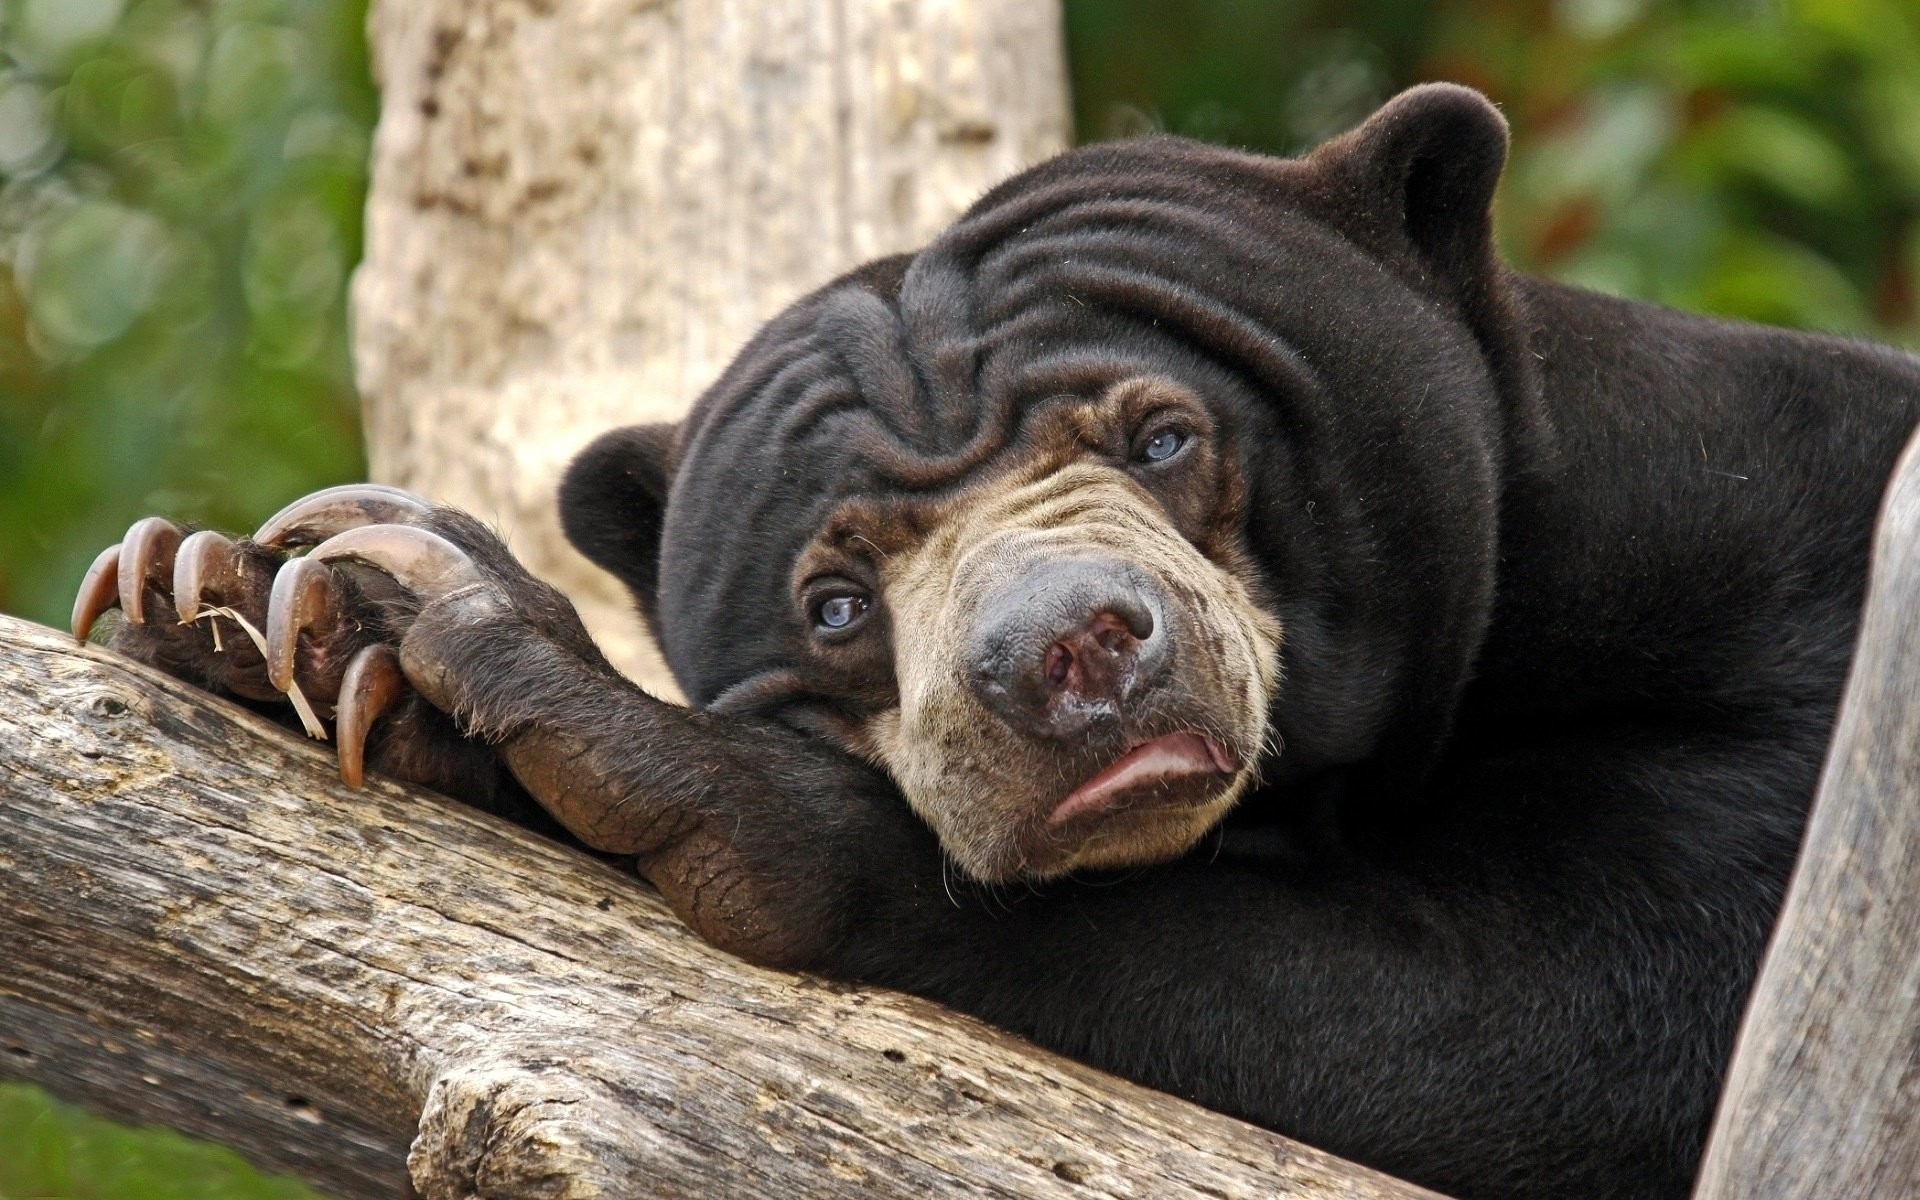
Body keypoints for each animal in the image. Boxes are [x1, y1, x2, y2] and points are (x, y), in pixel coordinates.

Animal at [74, 84, 1920, 1199]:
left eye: (1165, 436)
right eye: (833, 604)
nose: (1071, 655)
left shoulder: (1790, 641)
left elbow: (1592, 1027)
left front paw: (578, 714)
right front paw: (255, 603)